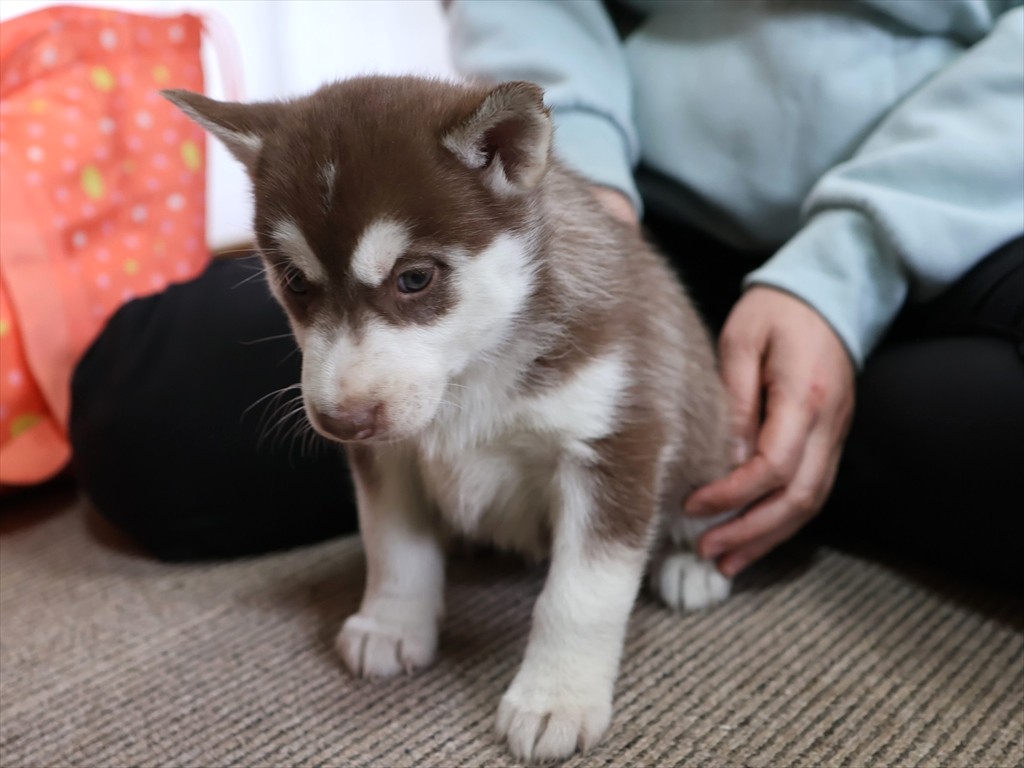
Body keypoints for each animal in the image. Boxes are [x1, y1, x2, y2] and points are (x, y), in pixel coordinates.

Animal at [166, 76, 735, 762]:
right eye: (296, 282)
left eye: (415, 278)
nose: (340, 420)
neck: (471, 372)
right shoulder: (386, 456)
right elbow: (394, 546)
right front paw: (391, 623)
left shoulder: (615, 441)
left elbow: (580, 594)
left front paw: (554, 698)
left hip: (711, 444)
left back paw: (694, 563)